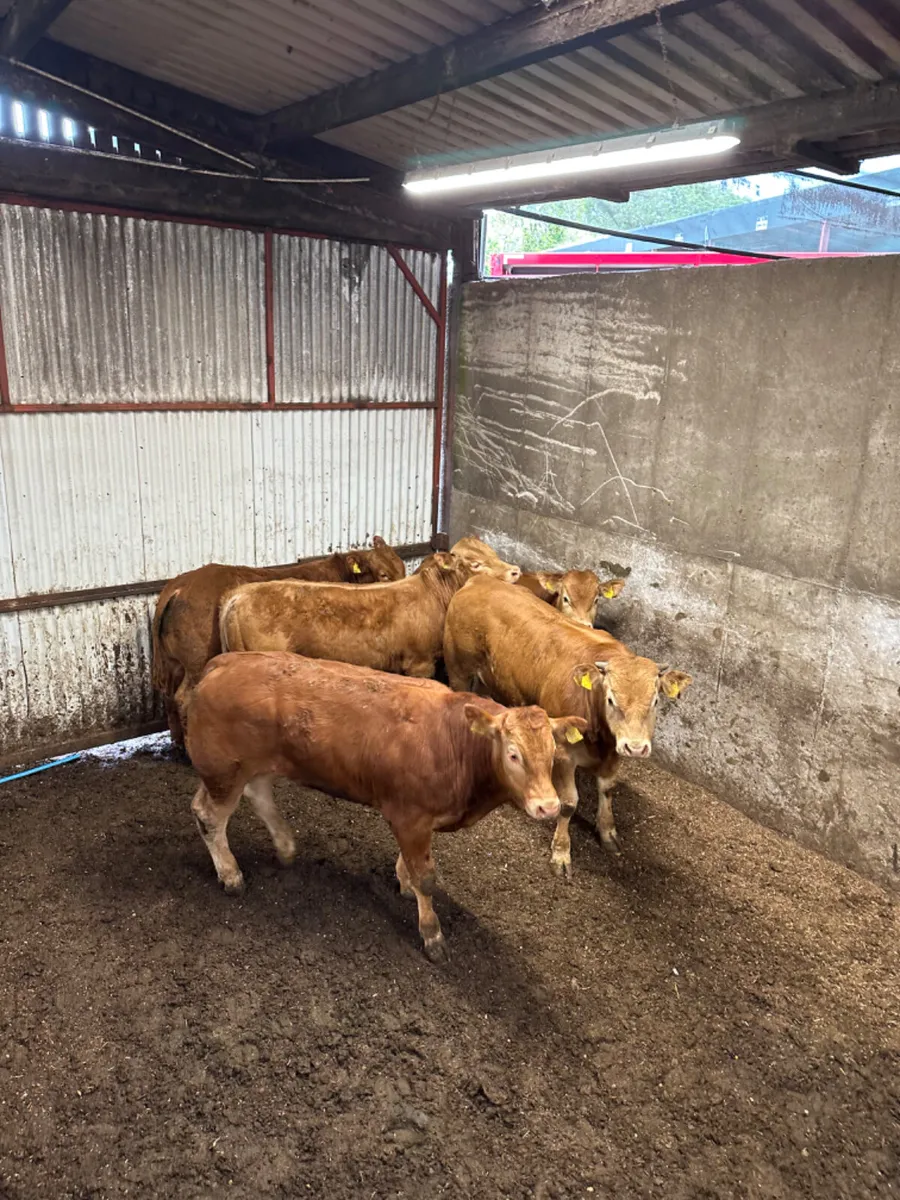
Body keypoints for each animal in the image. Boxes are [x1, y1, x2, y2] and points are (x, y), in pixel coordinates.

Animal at [151, 537, 405, 747]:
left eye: (401, 568)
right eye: (383, 574)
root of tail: (178, 587)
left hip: (173, 664)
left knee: (169, 697)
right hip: (196, 662)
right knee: (183, 698)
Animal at [186, 652, 587, 960]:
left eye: (553, 753)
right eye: (513, 753)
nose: (548, 806)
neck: (454, 741)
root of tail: (223, 661)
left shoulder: (416, 819)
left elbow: (410, 864)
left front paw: (403, 881)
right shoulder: (410, 817)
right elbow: (426, 877)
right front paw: (432, 934)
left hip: (257, 764)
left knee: (258, 794)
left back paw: (285, 847)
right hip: (223, 772)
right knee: (209, 816)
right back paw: (231, 875)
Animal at [443, 575, 692, 875]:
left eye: (655, 700)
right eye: (610, 699)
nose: (635, 747)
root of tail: (480, 579)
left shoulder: (613, 753)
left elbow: (607, 790)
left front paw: (608, 832)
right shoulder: (562, 753)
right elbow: (569, 803)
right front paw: (561, 852)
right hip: (458, 668)